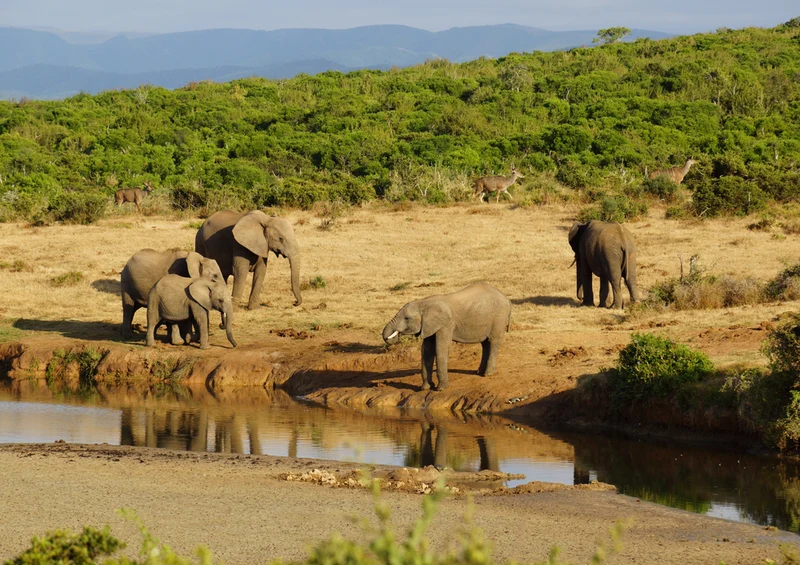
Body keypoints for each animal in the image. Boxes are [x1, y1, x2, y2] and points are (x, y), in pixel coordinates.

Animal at [382, 282, 511, 391]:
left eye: (407, 318)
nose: (392, 337)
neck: (424, 302)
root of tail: (507, 299)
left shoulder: (446, 324)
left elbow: (441, 348)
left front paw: (441, 389)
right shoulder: (429, 325)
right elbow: (426, 351)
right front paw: (426, 388)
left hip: (499, 318)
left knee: (493, 342)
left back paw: (488, 374)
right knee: (485, 344)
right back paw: (479, 372)